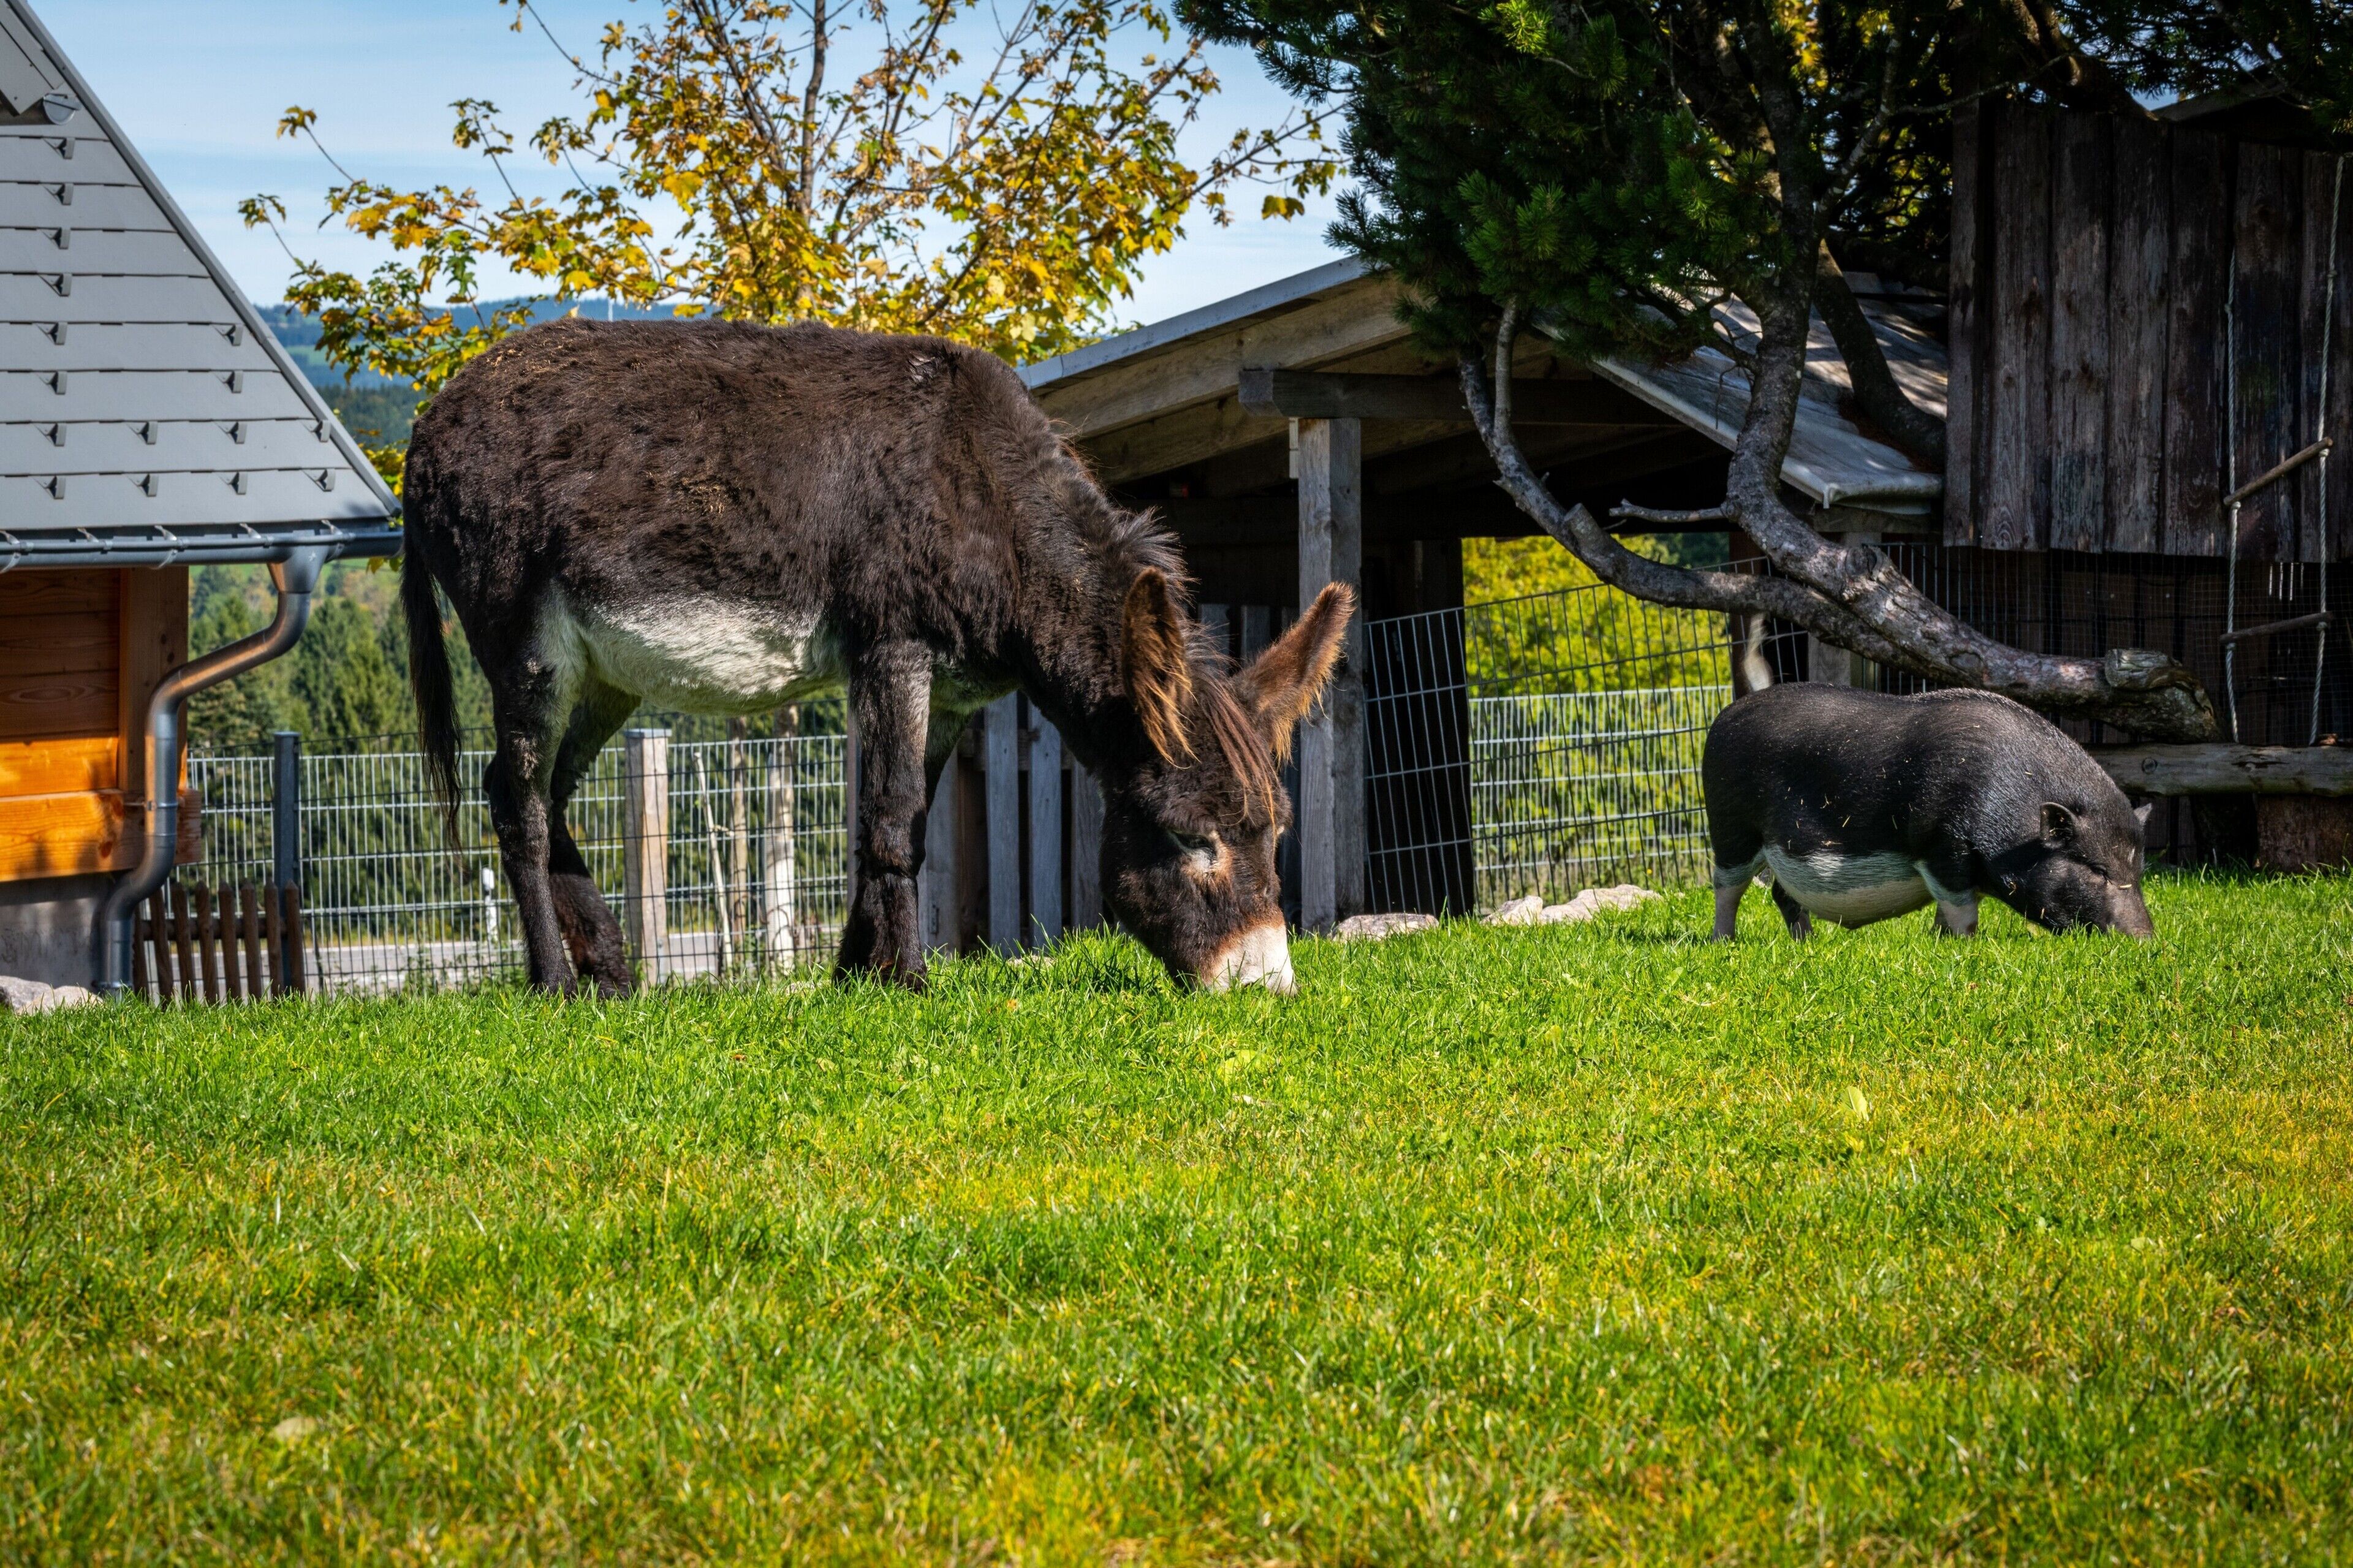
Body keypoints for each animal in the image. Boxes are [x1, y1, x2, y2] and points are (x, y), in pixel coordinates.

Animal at [1702, 658, 2156, 941]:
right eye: (2096, 869)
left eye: (2137, 869)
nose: (2145, 939)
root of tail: (1723, 716)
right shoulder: (1942, 842)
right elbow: (1961, 908)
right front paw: (1964, 945)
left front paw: (1940, 940)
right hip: (1730, 826)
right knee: (1726, 886)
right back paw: (1724, 941)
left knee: (1782, 896)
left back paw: (1807, 943)